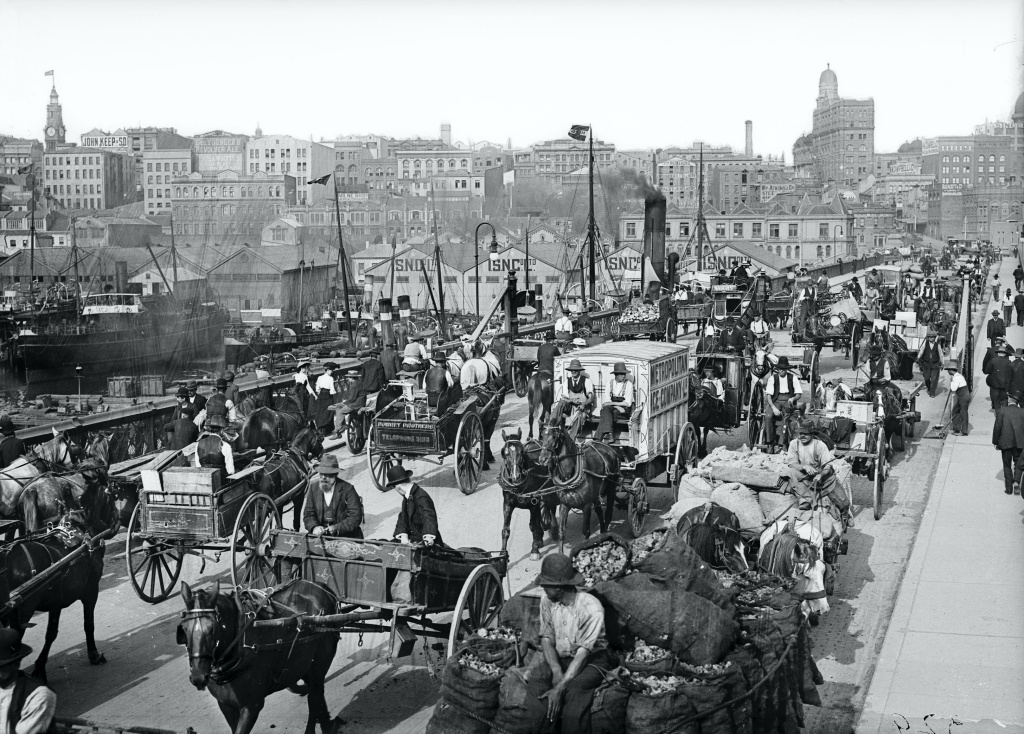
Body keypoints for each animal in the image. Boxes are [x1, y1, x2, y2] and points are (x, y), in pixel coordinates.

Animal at [179, 577, 339, 732]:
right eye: (184, 629)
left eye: (212, 628)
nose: (198, 677)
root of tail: (321, 587)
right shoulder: (225, 704)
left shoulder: (251, 706)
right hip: (305, 665)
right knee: (315, 695)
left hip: (319, 663)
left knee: (315, 696)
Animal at [497, 425, 557, 556]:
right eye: (505, 453)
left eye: (522, 451)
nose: (516, 476)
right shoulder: (507, 504)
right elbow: (505, 530)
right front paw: (503, 553)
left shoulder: (533, 505)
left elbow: (533, 527)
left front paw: (534, 551)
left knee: (551, 508)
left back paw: (553, 529)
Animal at [536, 421, 614, 552]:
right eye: (542, 435)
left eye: (554, 436)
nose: (543, 459)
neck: (569, 475)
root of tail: (608, 447)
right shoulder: (564, 505)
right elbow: (562, 532)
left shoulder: (586, 506)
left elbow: (586, 532)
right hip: (596, 495)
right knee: (599, 510)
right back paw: (602, 532)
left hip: (611, 488)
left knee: (608, 512)